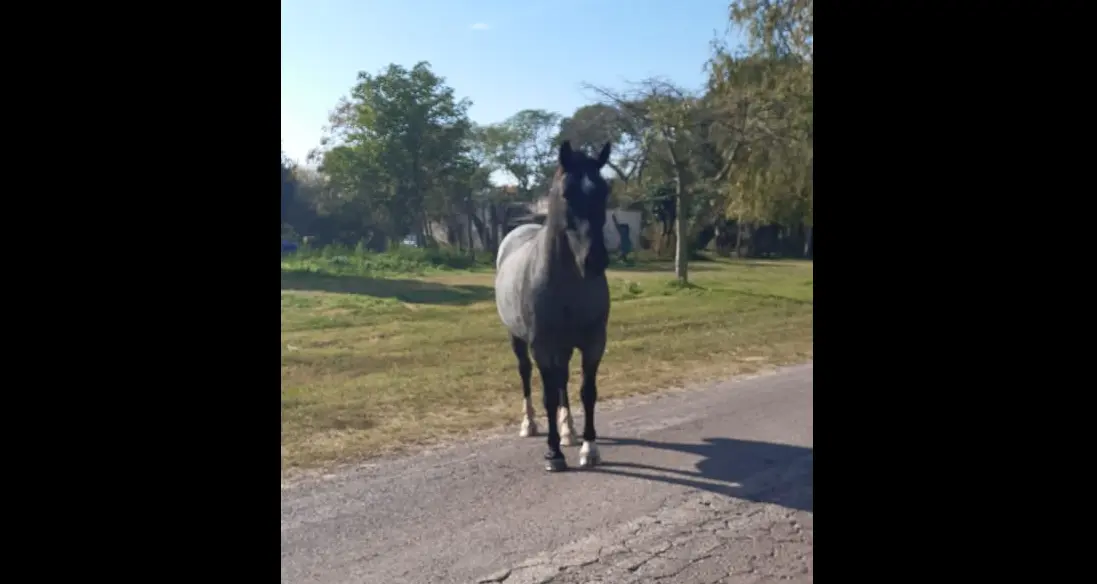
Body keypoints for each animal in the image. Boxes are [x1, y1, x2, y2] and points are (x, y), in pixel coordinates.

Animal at [494, 140, 613, 472]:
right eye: (567, 193)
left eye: (604, 191)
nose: (595, 259)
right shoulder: (542, 346)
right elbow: (547, 394)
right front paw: (554, 453)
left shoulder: (593, 342)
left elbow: (587, 392)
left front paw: (589, 448)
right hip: (517, 339)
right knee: (526, 375)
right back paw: (530, 424)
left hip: (565, 345)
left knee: (563, 380)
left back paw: (568, 430)